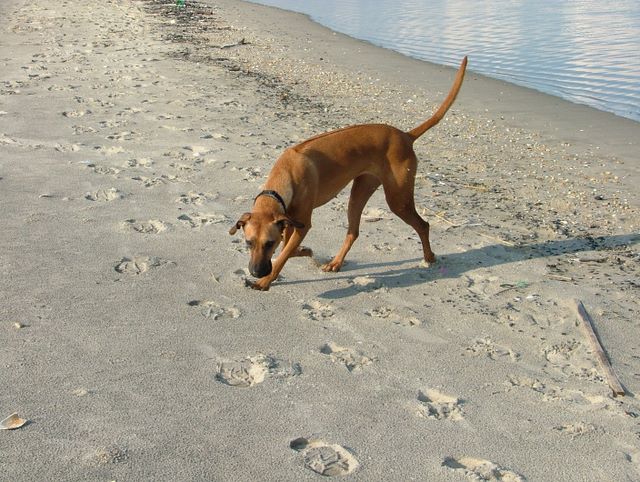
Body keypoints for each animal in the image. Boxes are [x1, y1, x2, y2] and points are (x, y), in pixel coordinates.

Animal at [230, 56, 467, 290]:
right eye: (248, 242)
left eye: (268, 243)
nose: (256, 271)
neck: (285, 176)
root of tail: (406, 136)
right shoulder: (291, 220)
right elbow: (287, 249)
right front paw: (303, 251)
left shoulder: (301, 222)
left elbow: (282, 255)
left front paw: (265, 281)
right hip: (360, 192)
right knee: (353, 231)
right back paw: (336, 262)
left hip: (398, 199)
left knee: (423, 224)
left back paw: (429, 257)